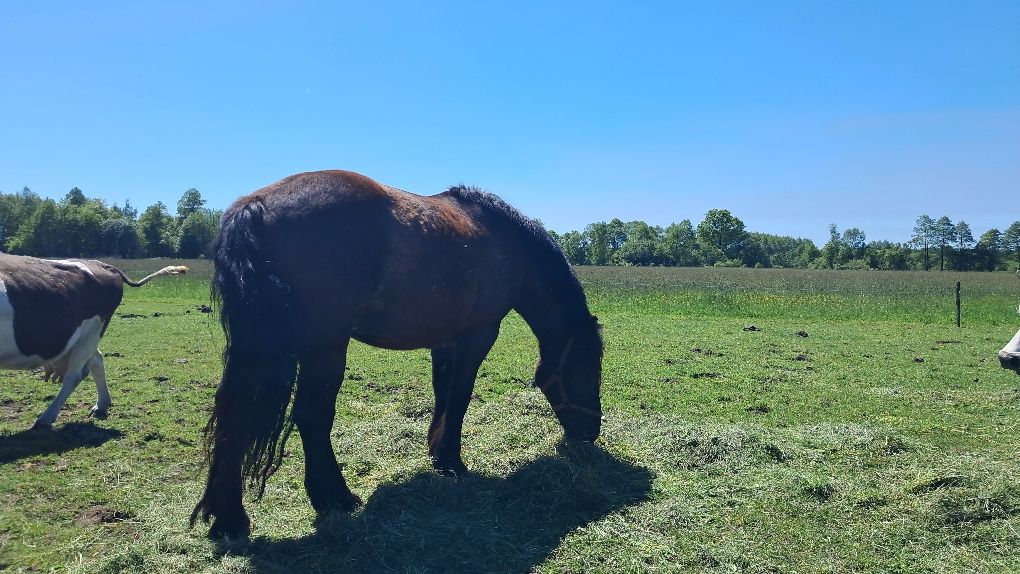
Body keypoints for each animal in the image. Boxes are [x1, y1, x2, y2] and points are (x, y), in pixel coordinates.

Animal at [0, 253, 187, 428]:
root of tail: (104, 265)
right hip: (84, 338)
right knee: (96, 360)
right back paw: (102, 404)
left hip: (91, 332)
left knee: (75, 375)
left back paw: (46, 417)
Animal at [190, 170, 599, 538]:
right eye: (587, 369)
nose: (590, 433)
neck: (507, 244)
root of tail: (254, 207)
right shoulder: (478, 334)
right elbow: (461, 396)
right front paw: (453, 461)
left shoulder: (445, 340)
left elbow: (443, 393)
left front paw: (437, 453)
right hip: (324, 345)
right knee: (312, 416)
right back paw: (334, 498)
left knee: (234, 410)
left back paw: (228, 519)